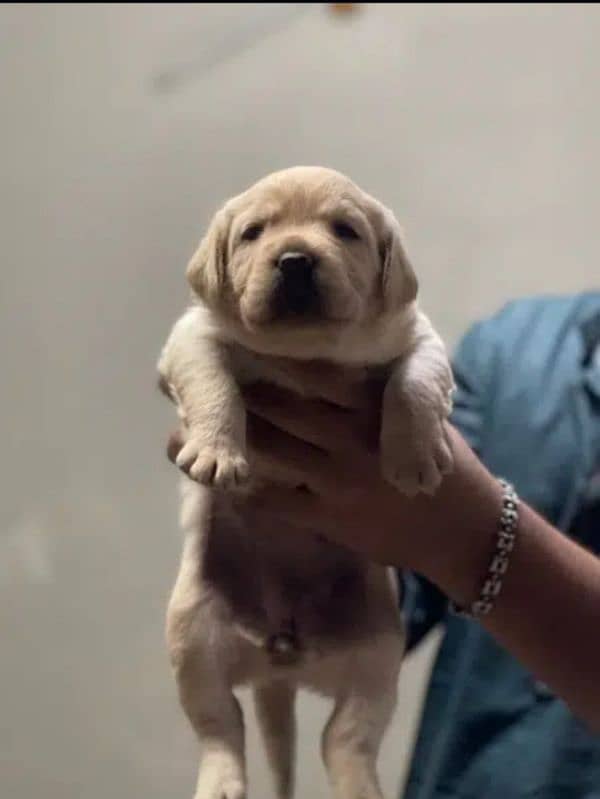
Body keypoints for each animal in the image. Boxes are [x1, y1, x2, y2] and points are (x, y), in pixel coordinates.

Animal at [157, 166, 452, 796]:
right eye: (253, 233)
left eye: (345, 231)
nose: (295, 260)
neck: (305, 351)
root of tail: (281, 661)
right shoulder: (192, 336)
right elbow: (213, 382)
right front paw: (217, 452)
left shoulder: (419, 336)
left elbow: (414, 382)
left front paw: (415, 456)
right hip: (195, 640)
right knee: (221, 727)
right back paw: (221, 781)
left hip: (376, 659)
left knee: (346, 739)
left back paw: (360, 787)